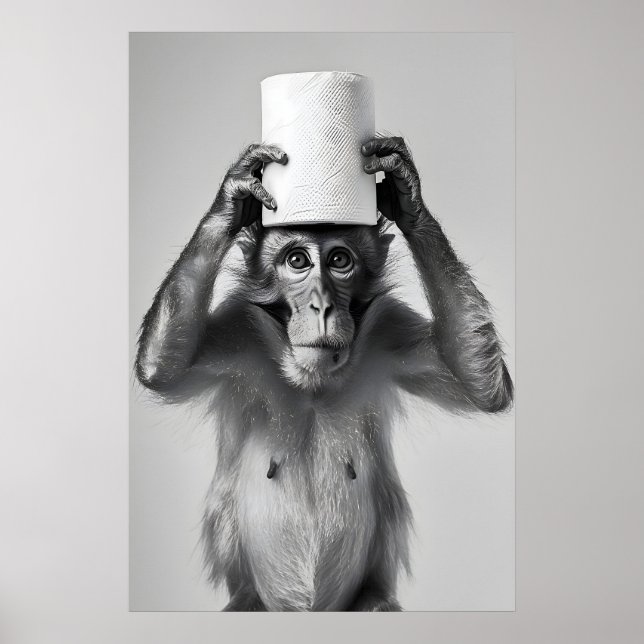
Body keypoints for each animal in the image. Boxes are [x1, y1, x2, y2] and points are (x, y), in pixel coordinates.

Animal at [135, 136, 514, 611]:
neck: (312, 383)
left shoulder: (387, 333)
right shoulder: (239, 334)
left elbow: (483, 383)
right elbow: (163, 366)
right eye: (297, 260)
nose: (322, 306)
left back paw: (373, 598)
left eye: (338, 260)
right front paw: (234, 197)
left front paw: (404, 194)